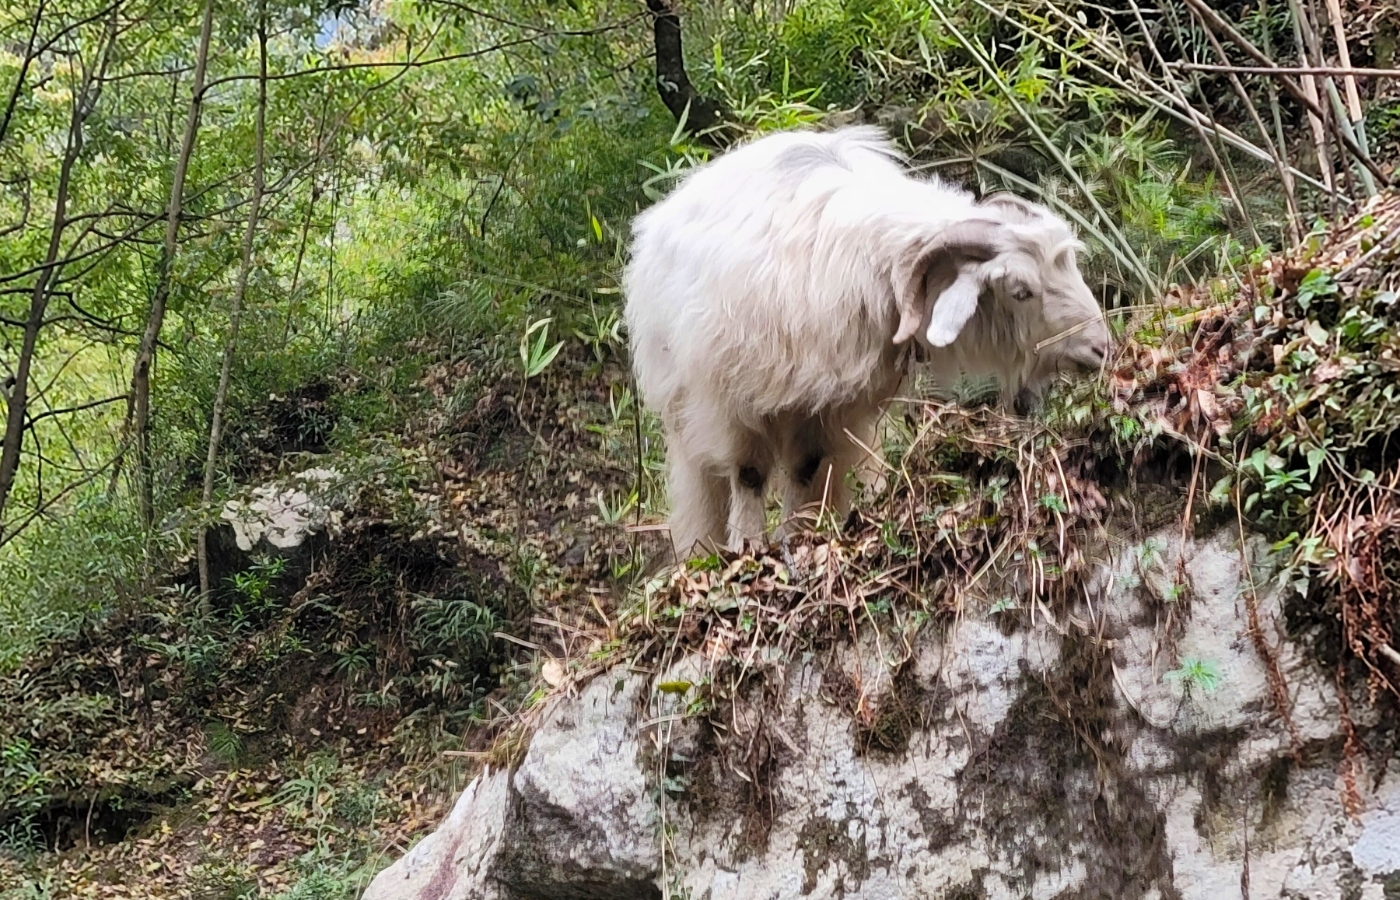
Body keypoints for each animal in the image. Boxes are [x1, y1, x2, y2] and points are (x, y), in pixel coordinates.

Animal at [624, 125, 1114, 557]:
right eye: (1020, 290)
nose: (1101, 348)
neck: (874, 258)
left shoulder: (829, 408)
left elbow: (804, 471)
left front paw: (797, 537)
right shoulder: (734, 402)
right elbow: (749, 475)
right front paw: (749, 547)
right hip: (685, 412)